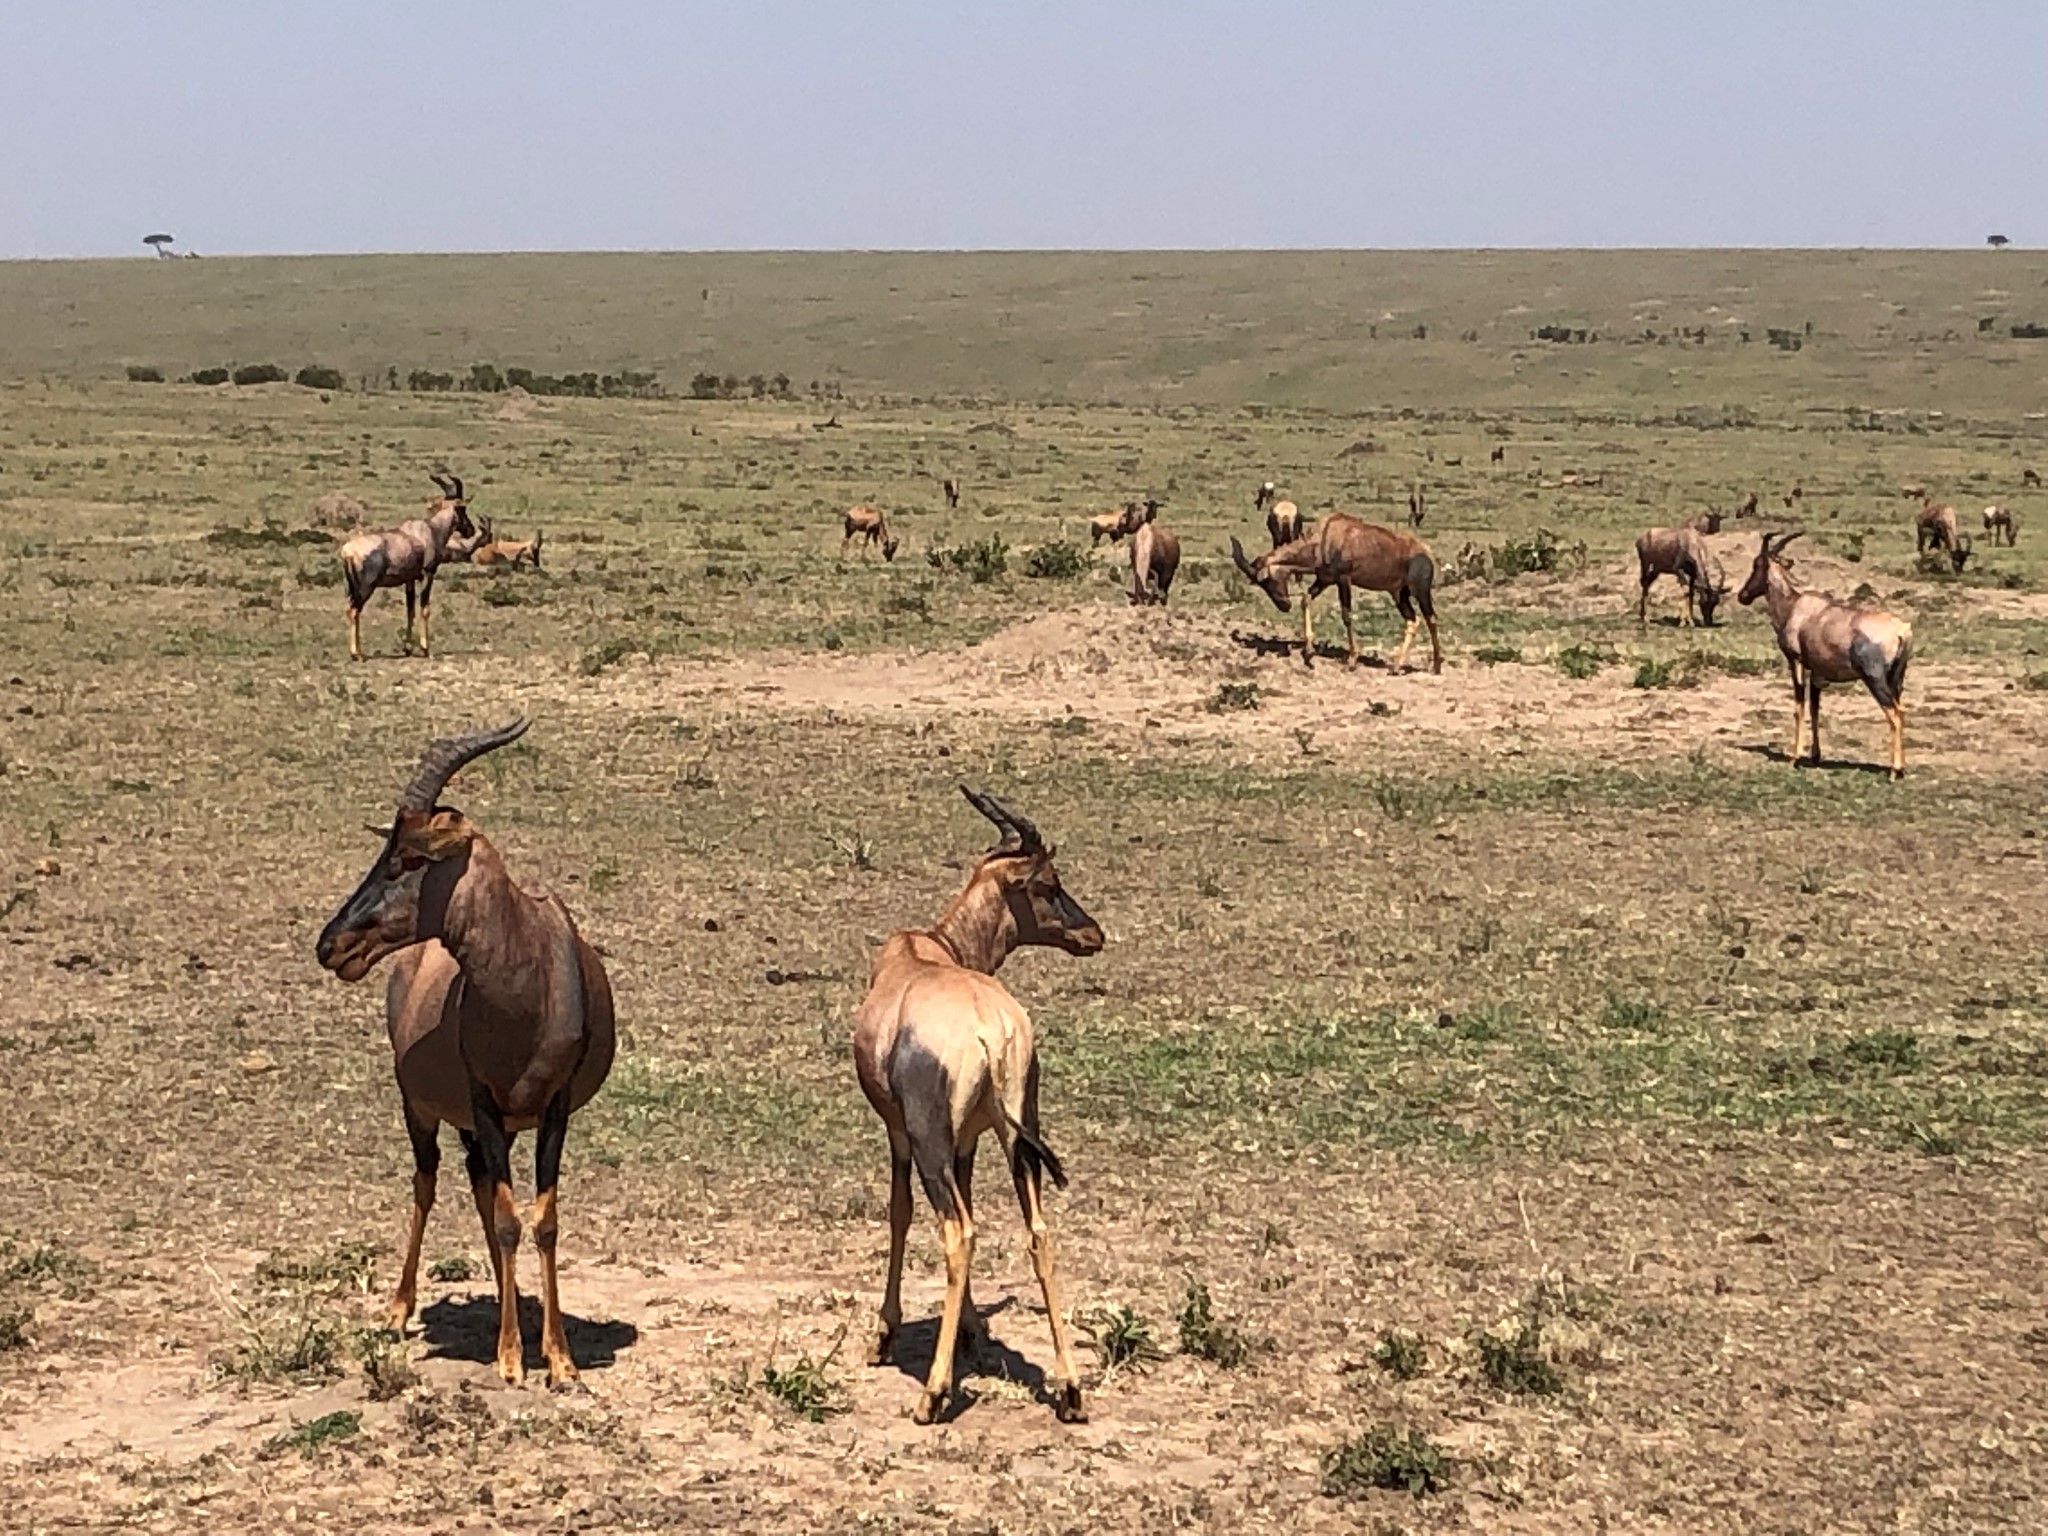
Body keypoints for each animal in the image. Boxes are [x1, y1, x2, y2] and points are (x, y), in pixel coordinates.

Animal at [311, 720, 614, 1384]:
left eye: (409, 858)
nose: (331, 945)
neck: (528, 973)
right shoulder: (484, 1106)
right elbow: (505, 1219)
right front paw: (511, 1358)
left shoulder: (553, 1111)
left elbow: (541, 1221)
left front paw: (559, 1359)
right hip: (424, 1112)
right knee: (429, 1184)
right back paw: (400, 1311)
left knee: (480, 1187)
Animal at [337, 468, 477, 663]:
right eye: (462, 508)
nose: (470, 530)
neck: (429, 531)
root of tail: (348, 551)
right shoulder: (428, 574)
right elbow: (424, 608)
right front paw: (426, 650)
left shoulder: (409, 579)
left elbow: (410, 610)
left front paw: (408, 649)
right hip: (366, 586)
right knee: (354, 610)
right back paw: (357, 654)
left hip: (353, 587)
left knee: (351, 610)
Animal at [847, 794, 1105, 1433]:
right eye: (1049, 884)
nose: (1092, 934)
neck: (925, 952)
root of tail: (990, 1030)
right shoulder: (971, 1141)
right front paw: (967, 1330)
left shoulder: (903, 1133)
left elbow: (900, 1212)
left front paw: (883, 1335)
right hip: (1022, 1138)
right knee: (1038, 1232)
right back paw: (1070, 1391)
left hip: (933, 1142)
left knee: (958, 1232)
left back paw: (932, 1395)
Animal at [1228, 514, 1441, 671]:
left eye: (1267, 580)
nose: (1284, 605)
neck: (1327, 536)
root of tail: (1426, 552)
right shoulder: (1324, 580)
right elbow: (1306, 599)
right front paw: (1309, 652)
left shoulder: (1343, 580)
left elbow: (1346, 615)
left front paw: (1352, 660)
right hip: (1398, 593)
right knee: (1413, 620)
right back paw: (1396, 666)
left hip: (1420, 590)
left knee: (1431, 618)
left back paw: (1436, 666)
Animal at [1736, 536, 1908, 782]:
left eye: (1757, 564)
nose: (1743, 596)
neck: (1795, 608)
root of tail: (1901, 631)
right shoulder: (1817, 672)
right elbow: (1815, 709)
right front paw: (1815, 756)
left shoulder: (1796, 661)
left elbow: (1799, 706)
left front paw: (1795, 758)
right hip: (1897, 680)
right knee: (1901, 711)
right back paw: (1901, 768)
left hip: (1875, 680)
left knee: (1894, 715)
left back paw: (1894, 771)